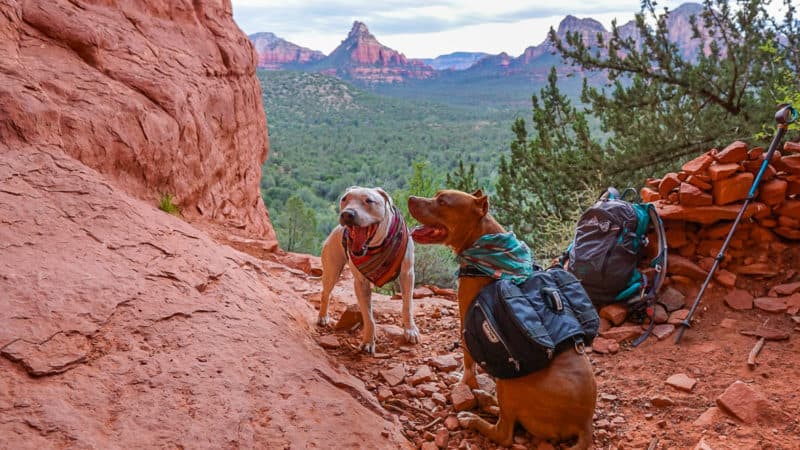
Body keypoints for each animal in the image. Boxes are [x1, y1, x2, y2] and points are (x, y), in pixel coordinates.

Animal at [318, 187, 422, 356]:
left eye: (369, 200)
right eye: (344, 199)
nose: (347, 214)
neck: (378, 245)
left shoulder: (407, 274)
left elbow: (408, 305)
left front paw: (410, 330)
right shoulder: (361, 283)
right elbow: (368, 317)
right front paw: (368, 342)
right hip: (331, 271)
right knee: (325, 293)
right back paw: (322, 316)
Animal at [410, 190, 596, 450]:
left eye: (443, 202)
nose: (410, 199)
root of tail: (585, 423)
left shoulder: (466, 324)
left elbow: (468, 364)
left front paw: (464, 384)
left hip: (510, 384)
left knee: (505, 433)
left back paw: (473, 418)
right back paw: (486, 401)